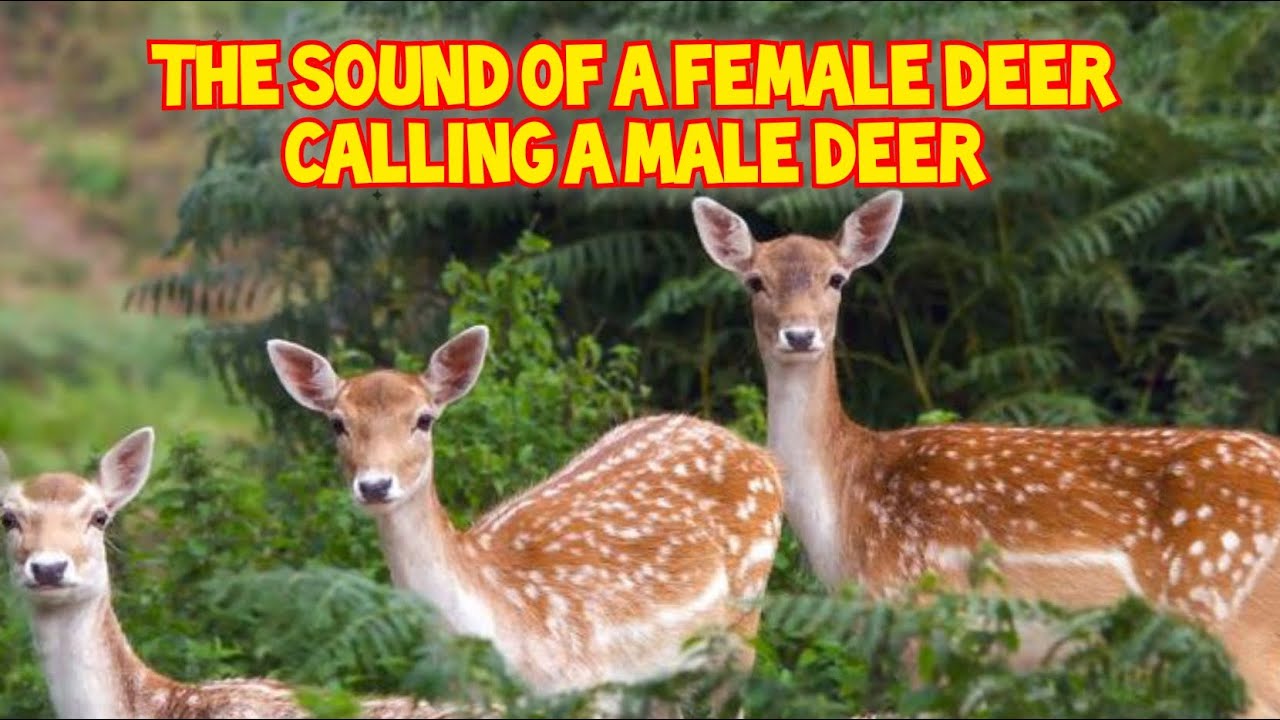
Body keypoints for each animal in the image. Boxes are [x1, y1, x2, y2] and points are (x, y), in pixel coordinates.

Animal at [264, 324, 786, 718]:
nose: (374, 485)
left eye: (424, 419)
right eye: (337, 423)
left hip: (744, 618)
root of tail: (760, 455)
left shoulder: (589, 688)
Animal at [691, 189, 1280, 717]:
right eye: (755, 281)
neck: (848, 511)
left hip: (1237, 617)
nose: (799, 334)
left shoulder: (926, 615)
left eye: (837, 278)